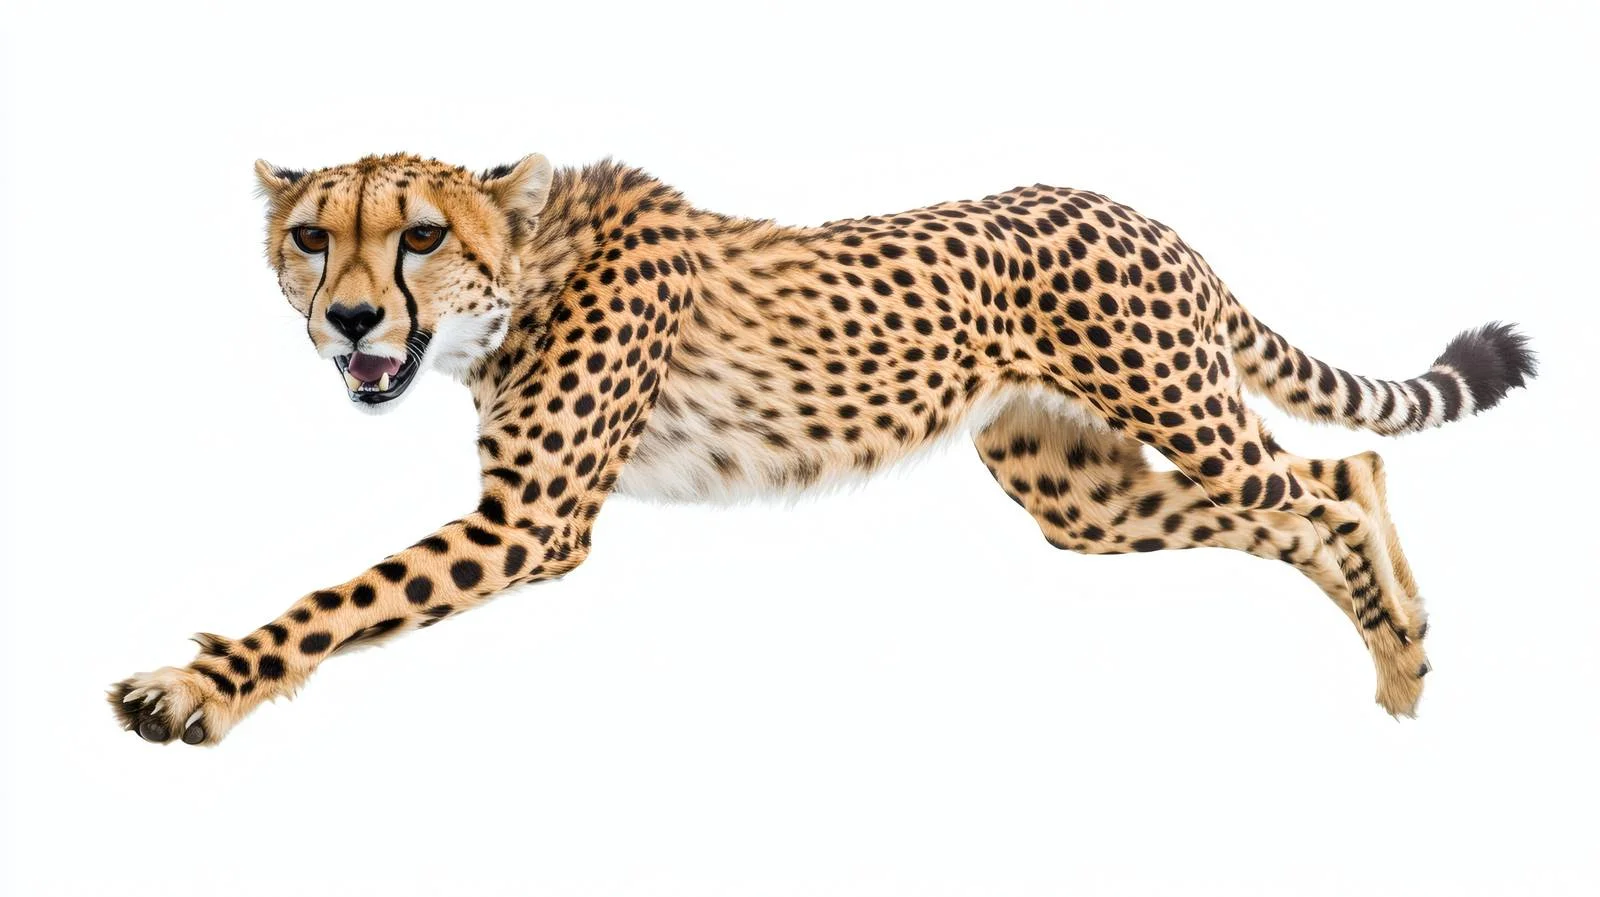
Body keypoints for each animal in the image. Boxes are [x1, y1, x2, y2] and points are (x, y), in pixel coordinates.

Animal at [110, 152, 1536, 745]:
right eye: (313, 236)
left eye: (418, 235)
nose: (350, 319)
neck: (523, 275)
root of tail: (1136, 212)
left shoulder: (531, 524)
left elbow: (339, 602)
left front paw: (195, 690)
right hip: (1076, 493)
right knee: (1334, 479)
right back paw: (1399, 669)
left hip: (1177, 412)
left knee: (1324, 495)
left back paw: (1404, 660)